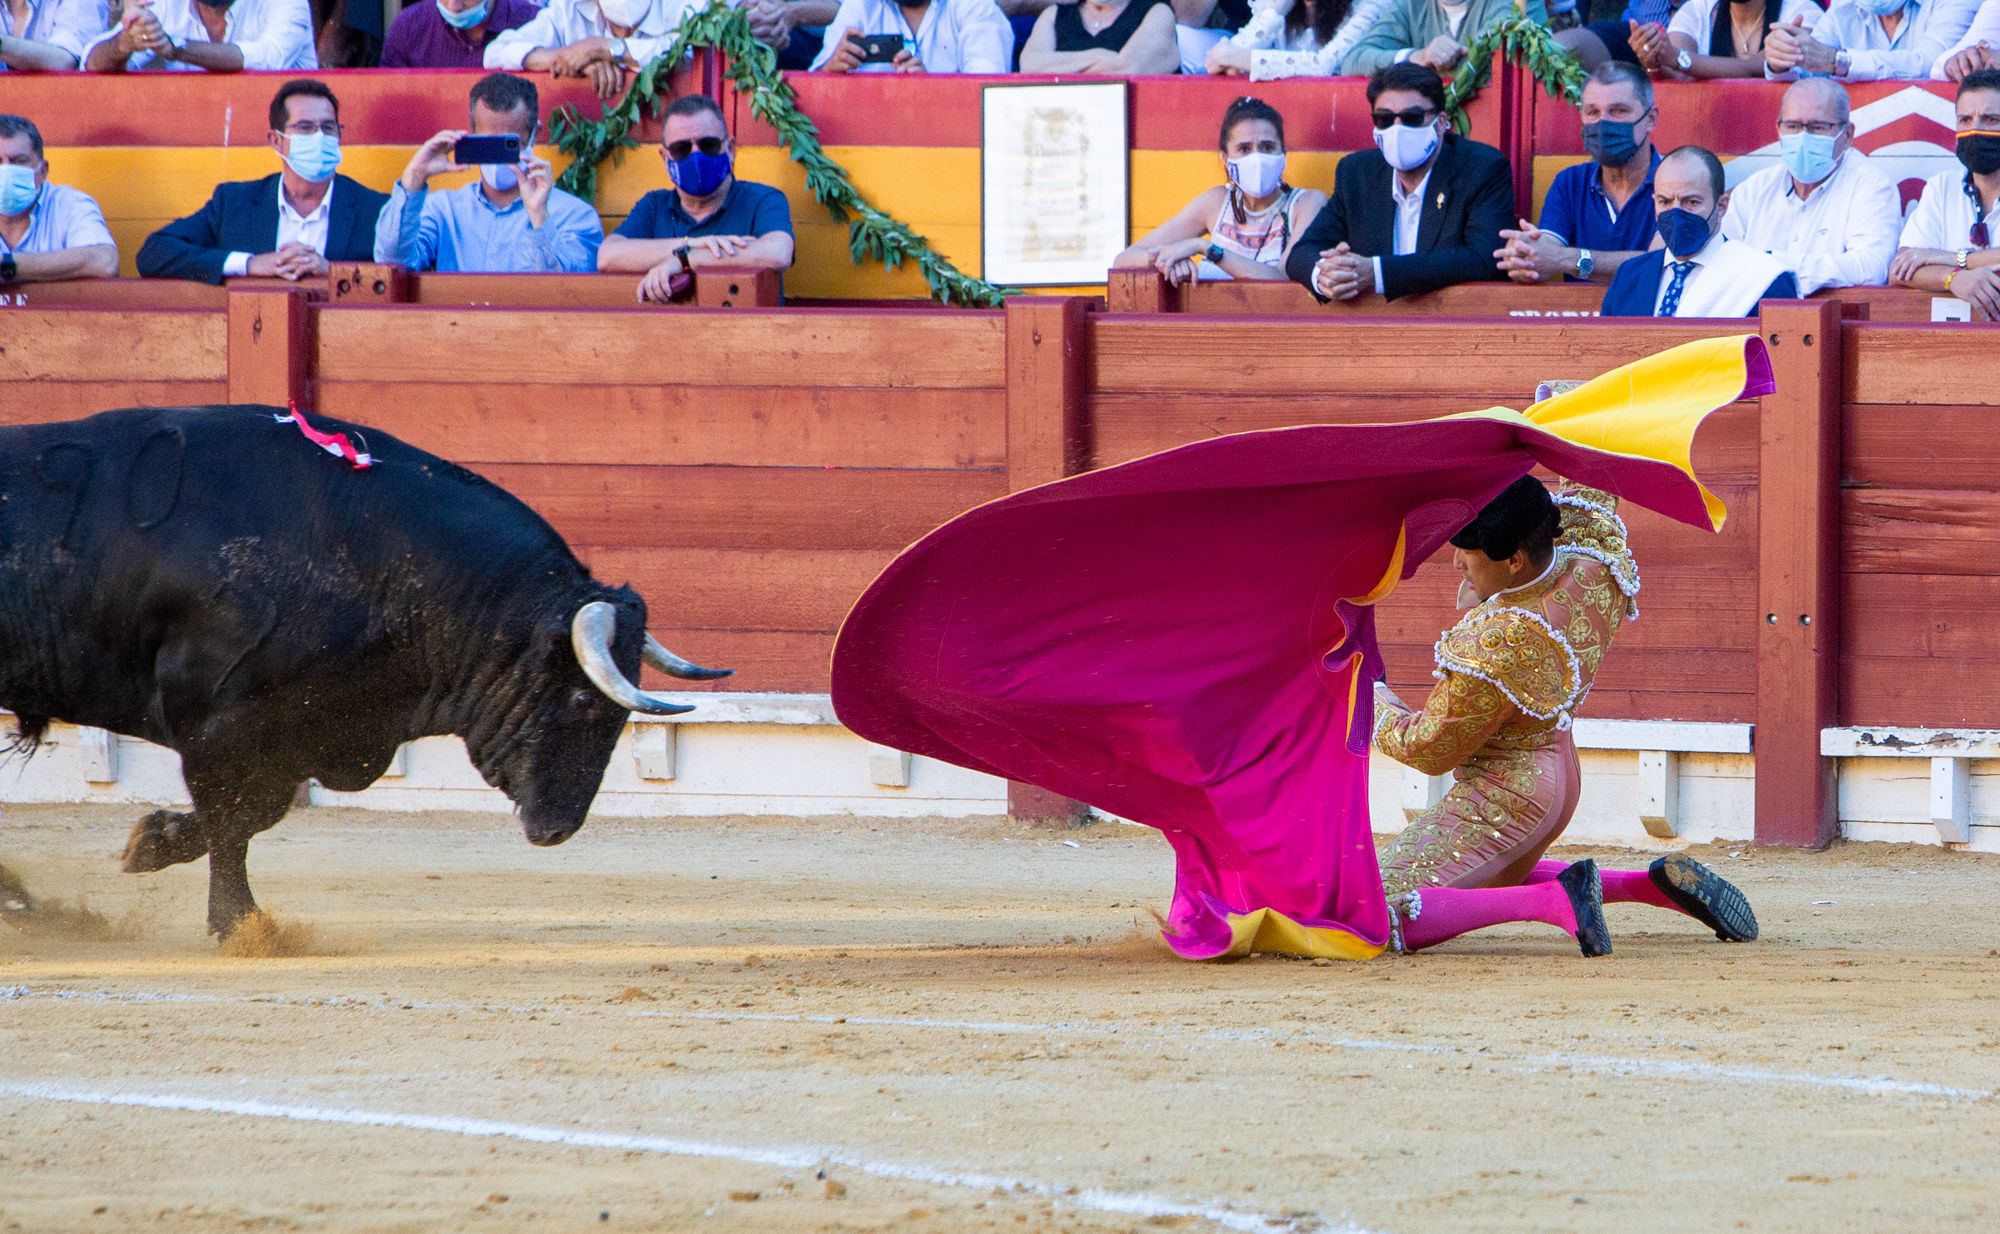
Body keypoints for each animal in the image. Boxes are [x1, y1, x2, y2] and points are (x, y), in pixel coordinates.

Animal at [0, 404, 736, 932]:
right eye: (584, 702)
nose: (557, 829)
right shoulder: (215, 725)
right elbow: (232, 819)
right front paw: (240, 925)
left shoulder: (302, 728)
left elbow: (253, 814)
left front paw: (150, 842)